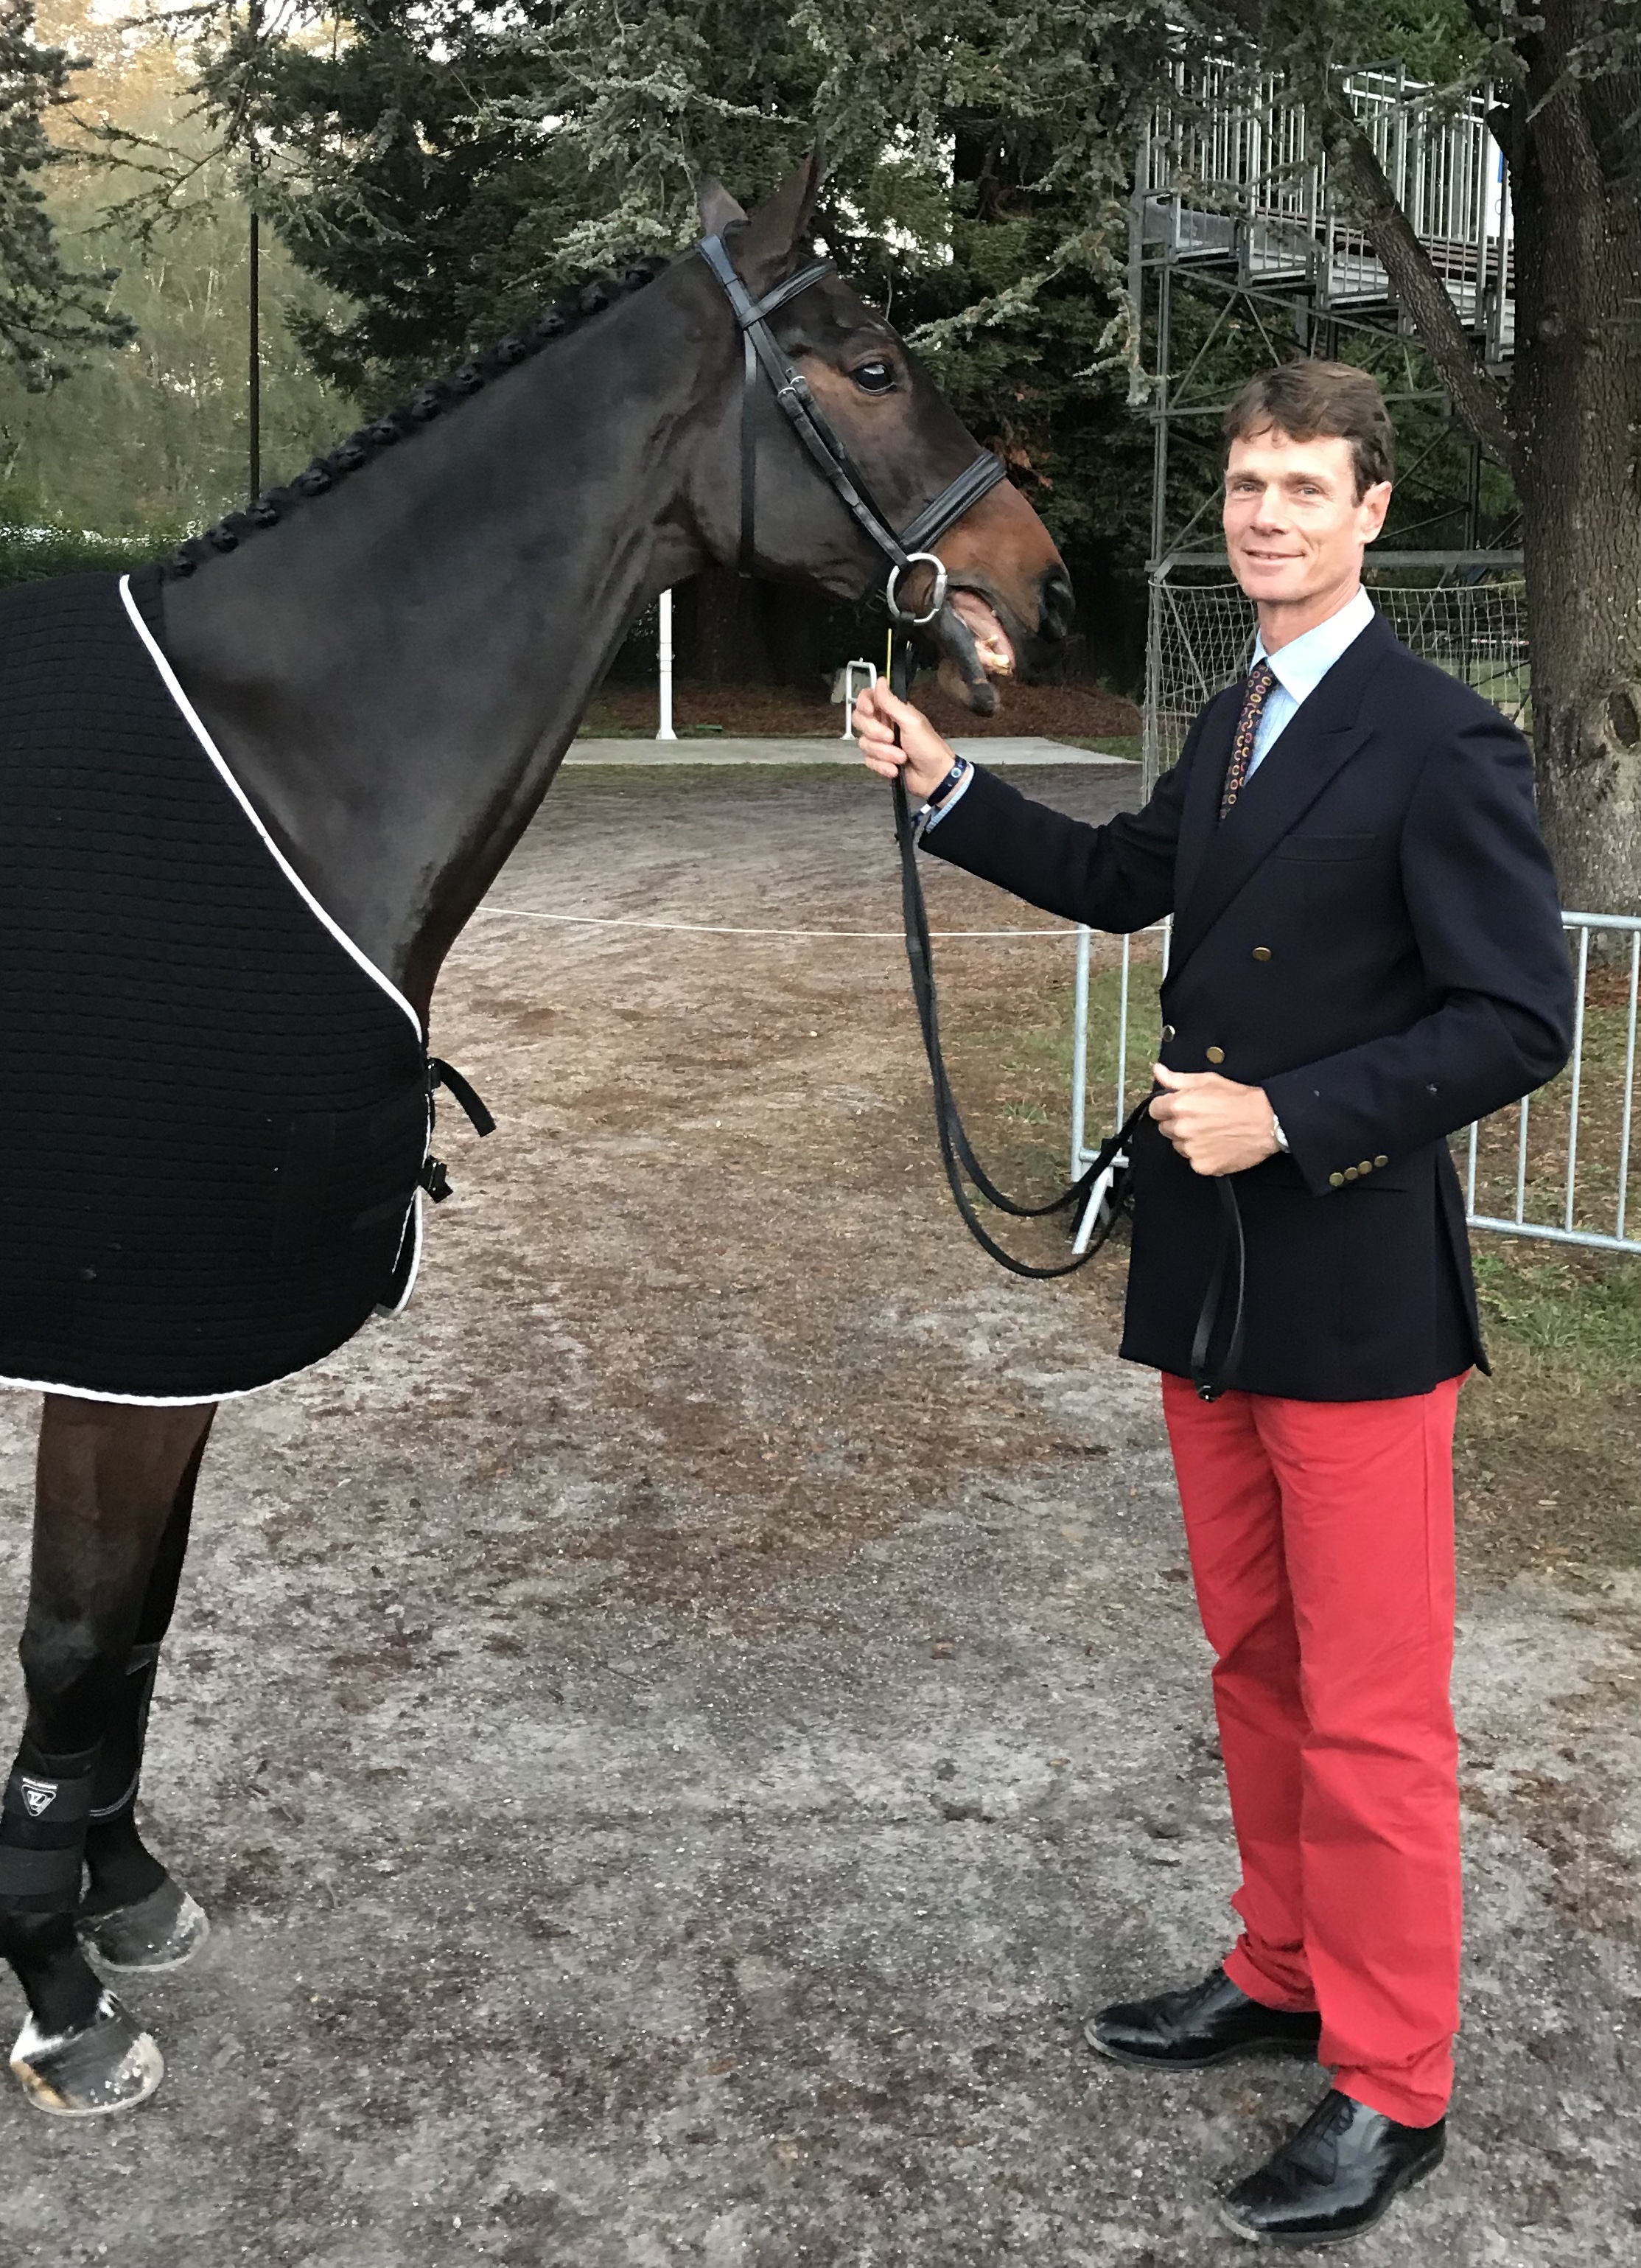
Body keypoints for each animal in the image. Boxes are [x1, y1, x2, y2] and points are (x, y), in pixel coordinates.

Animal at [0, 152, 1072, 2116]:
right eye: (871, 360)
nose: (1037, 582)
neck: (284, 768)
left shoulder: (188, 1345)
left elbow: (143, 1623)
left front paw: (120, 1889)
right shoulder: (129, 1341)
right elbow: (78, 1633)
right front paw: (56, 1983)